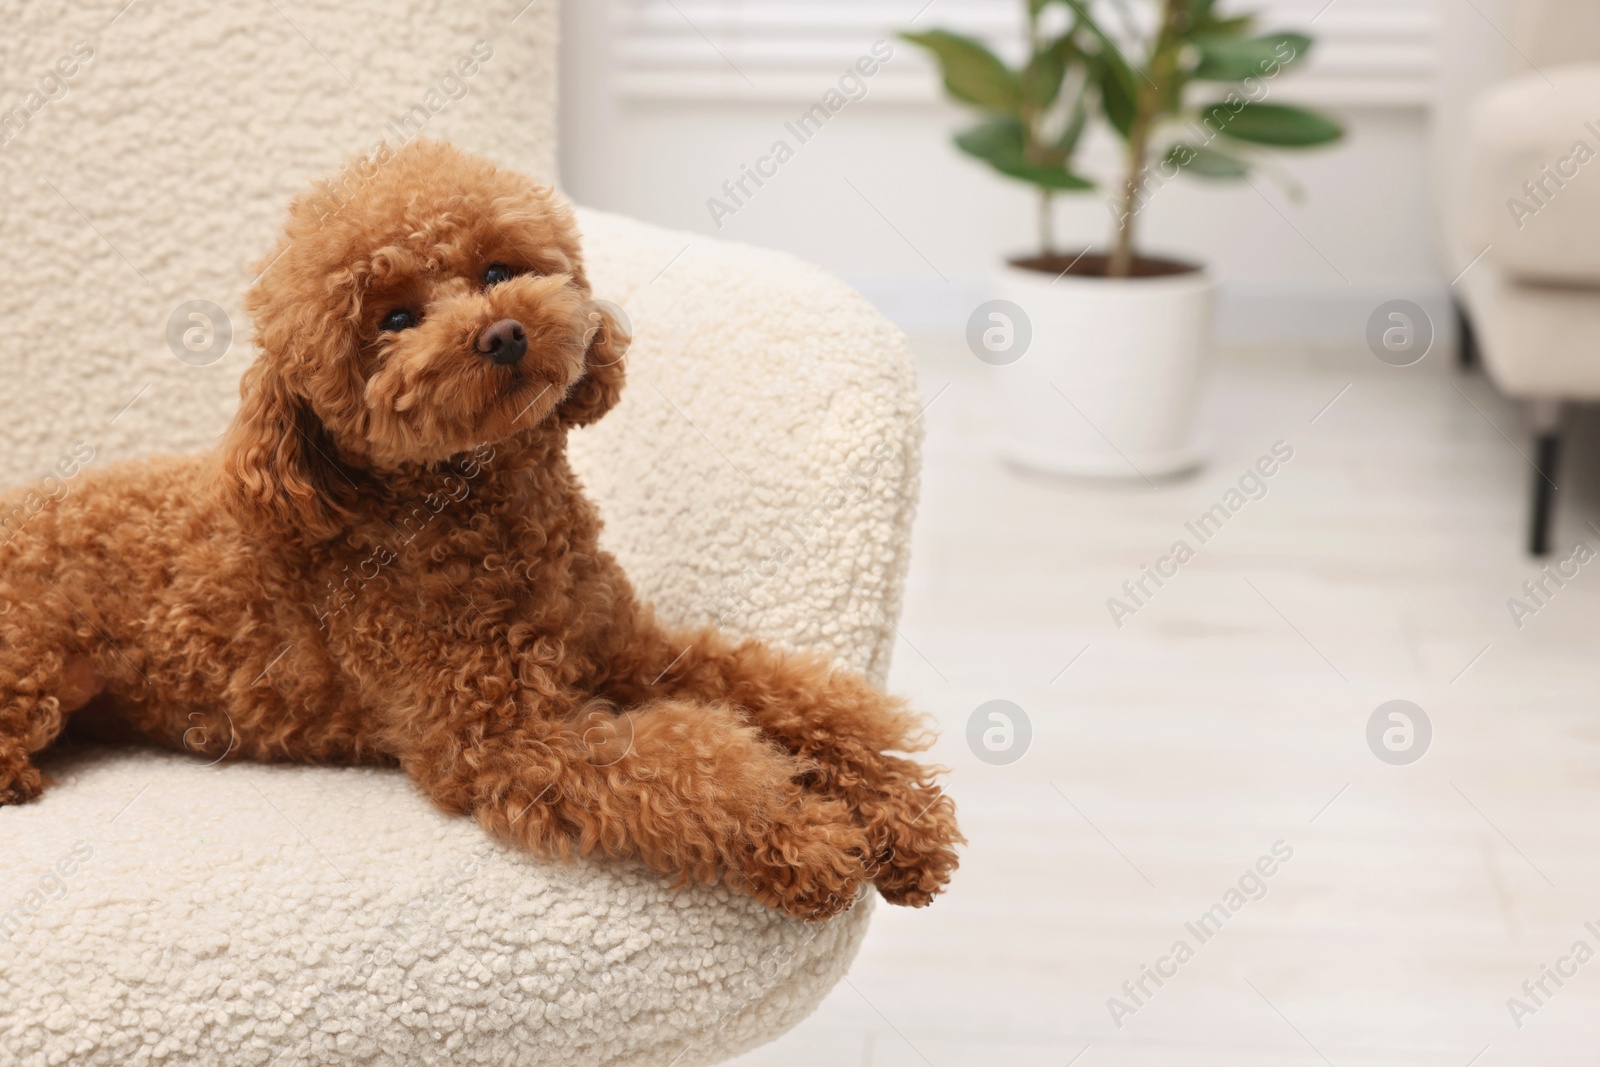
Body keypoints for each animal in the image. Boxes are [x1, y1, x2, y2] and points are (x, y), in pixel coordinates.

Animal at [0, 137, 953, 921]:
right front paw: (808, 836)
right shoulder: (501, 739)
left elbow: (781, 693)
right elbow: (692, 762)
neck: (481, 513)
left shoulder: (626, 649)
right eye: (393, 319)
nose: (502, 334)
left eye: (497, 268)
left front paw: (903, 811)